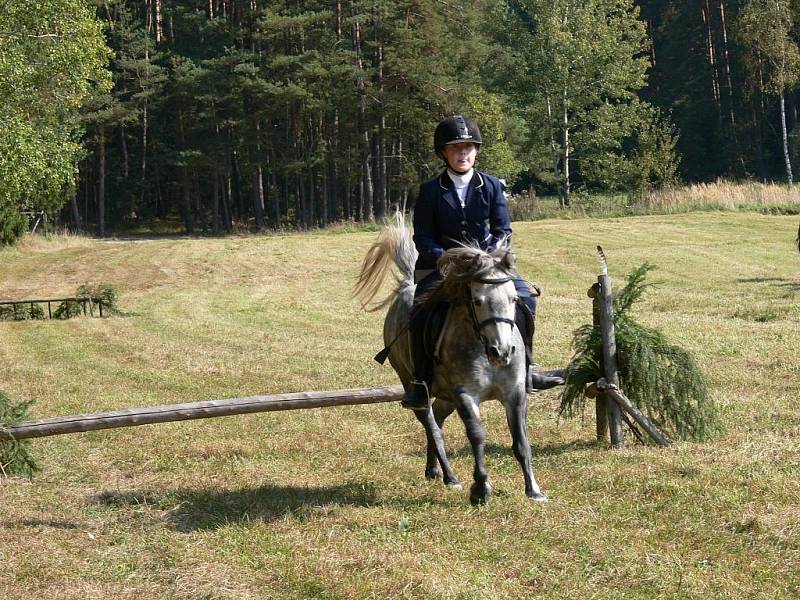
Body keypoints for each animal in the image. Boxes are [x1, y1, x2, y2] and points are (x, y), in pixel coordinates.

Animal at [356, 213, 552, 504]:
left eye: (514, 299)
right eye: (478, 301)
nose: (502, 352)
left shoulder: (515, 393)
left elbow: (521, 441)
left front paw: (534, 490)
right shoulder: (465, 394)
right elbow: (477, 436)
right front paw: (481, 489)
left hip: (446, 396)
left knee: (437, 418)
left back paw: (434, 470)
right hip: (413, 384)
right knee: (431, 425)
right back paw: (450, 477)